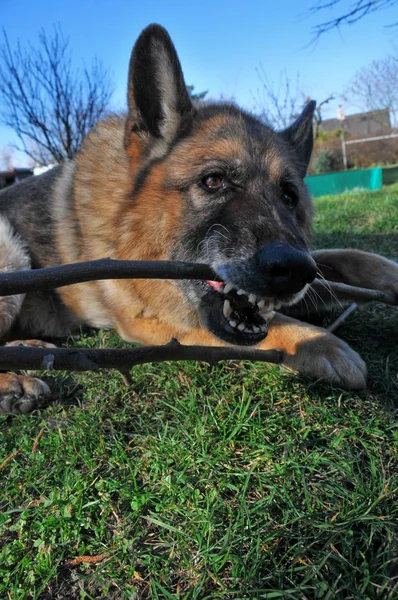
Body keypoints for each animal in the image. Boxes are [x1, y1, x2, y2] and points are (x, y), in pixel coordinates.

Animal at [0, 24, 398, 418]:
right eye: (213, 181)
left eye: (289, 197)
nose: (295, 270)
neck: (130, 222)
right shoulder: (157, 319)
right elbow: (276, 323)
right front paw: (320, 343)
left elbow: (348, 257)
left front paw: (390, 276)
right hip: (11, 253)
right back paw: (14, 381)